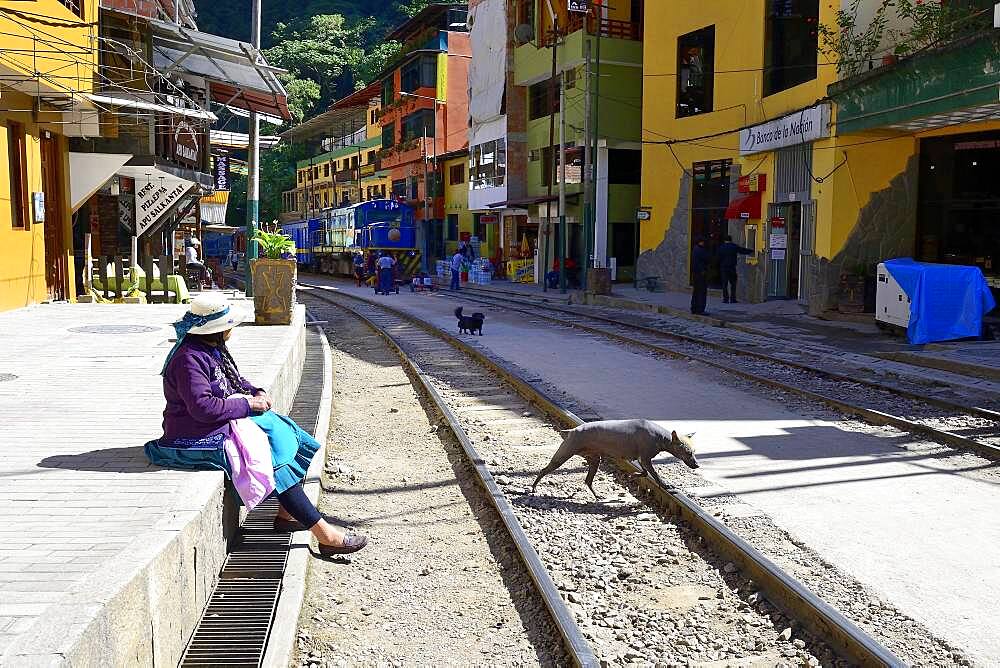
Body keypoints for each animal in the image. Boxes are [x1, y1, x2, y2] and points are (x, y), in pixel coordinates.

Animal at [532, 420, 696, 498]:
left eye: (694, 452)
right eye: (688, 453)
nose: (697, 465)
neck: (661, 438)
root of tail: (571, 431)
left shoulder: (641, 460)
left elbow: (644, 473)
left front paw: (633, 475)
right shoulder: (645, 459)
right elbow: (655, 475)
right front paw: (667, 486)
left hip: (594, 460)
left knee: (588, 481)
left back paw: (597, 495)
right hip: (563, 456)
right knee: (543, 470)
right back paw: (533, 487)